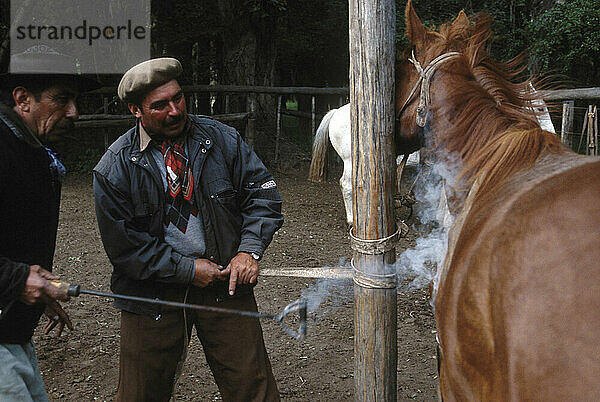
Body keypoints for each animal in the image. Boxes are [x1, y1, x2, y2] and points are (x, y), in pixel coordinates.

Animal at [308, 94, 556, 226]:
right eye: (539, 107)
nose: (552, 133)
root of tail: (336, 111)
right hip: (351, 160)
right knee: (346, 184)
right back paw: (352, 219)